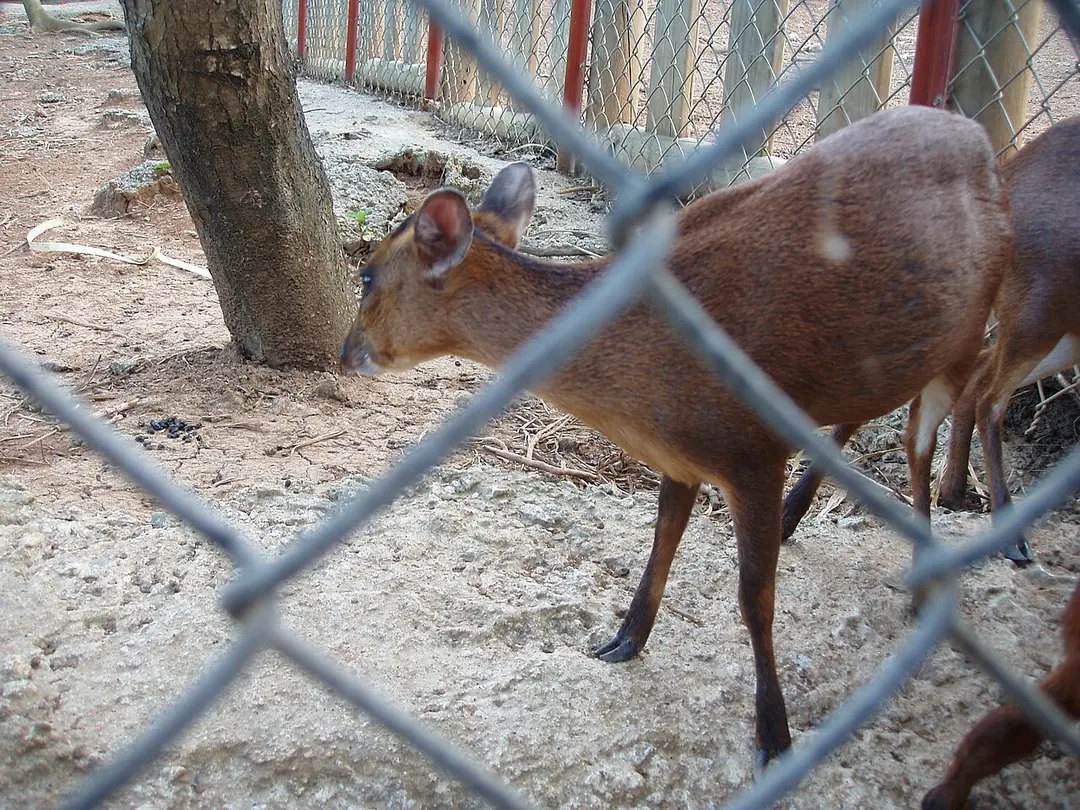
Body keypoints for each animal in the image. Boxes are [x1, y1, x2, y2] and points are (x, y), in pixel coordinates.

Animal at [339, 105, 1012, 767]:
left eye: (367, 276)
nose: (345, 353)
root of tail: (983, 142)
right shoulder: (682, 458)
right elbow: (660, 542)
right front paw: (622, 641)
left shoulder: (752, 449)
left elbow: (754, 597)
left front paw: (774, 734)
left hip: (971, 328)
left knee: (928, 433)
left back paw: (930, 574)